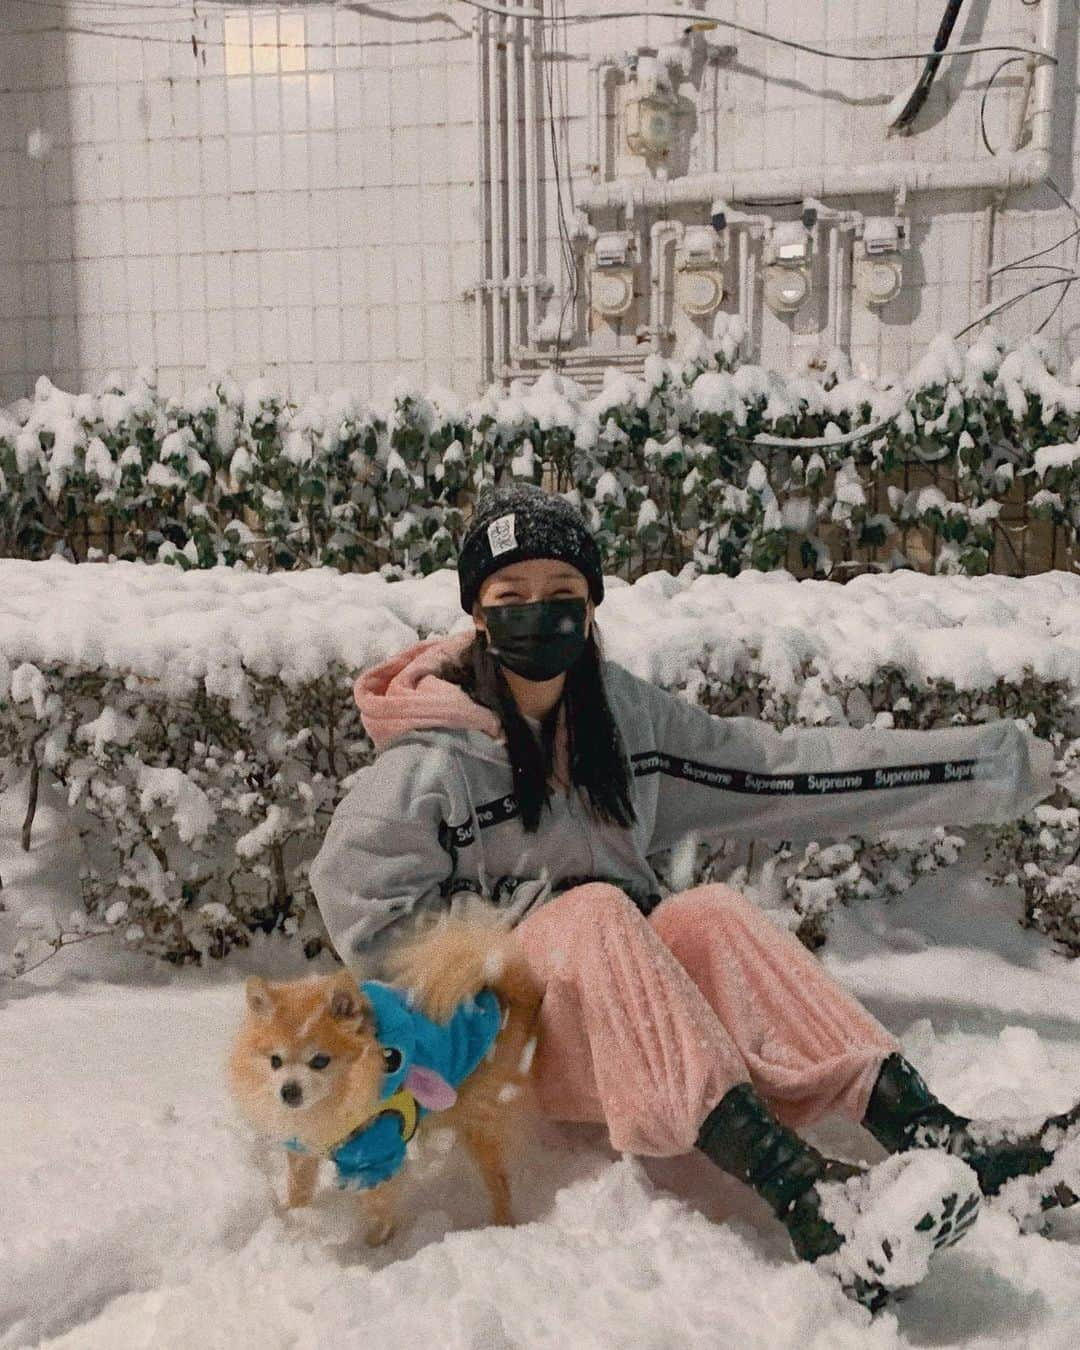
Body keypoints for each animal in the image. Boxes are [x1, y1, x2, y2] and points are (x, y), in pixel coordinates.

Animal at [230, 901, 545, 1247]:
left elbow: (379, 1209)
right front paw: (295, 1218)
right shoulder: (303, 1149)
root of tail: (498, 990)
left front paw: (373, 1248)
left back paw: (502, 1225)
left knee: (499, 1181)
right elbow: (299, 1186)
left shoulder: (375, 1153)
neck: (341, 1097)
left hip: (475, 1116)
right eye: (275, 1061)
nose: (288, 1091)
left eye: (320, 1061)